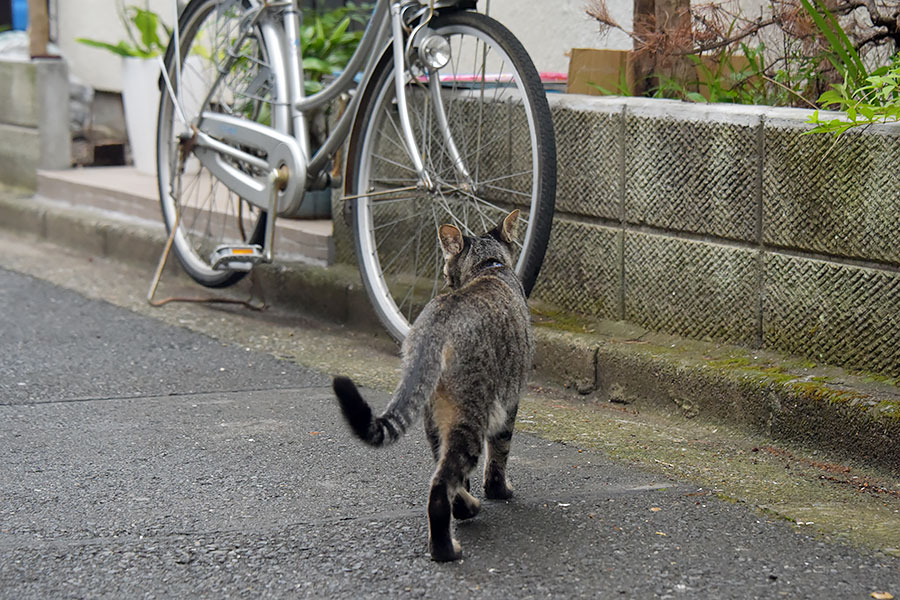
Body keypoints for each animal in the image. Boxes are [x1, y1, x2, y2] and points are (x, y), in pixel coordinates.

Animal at [336, 211, 536, 564]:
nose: (443, 277)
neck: (489, 266)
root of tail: (436, 325)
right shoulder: (510, 399)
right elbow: (500, 452)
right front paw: (499, 490)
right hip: (471, 414)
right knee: (442, 487)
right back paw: (446, 548)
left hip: (435, 415)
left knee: (445, 473)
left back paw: (466, 509)